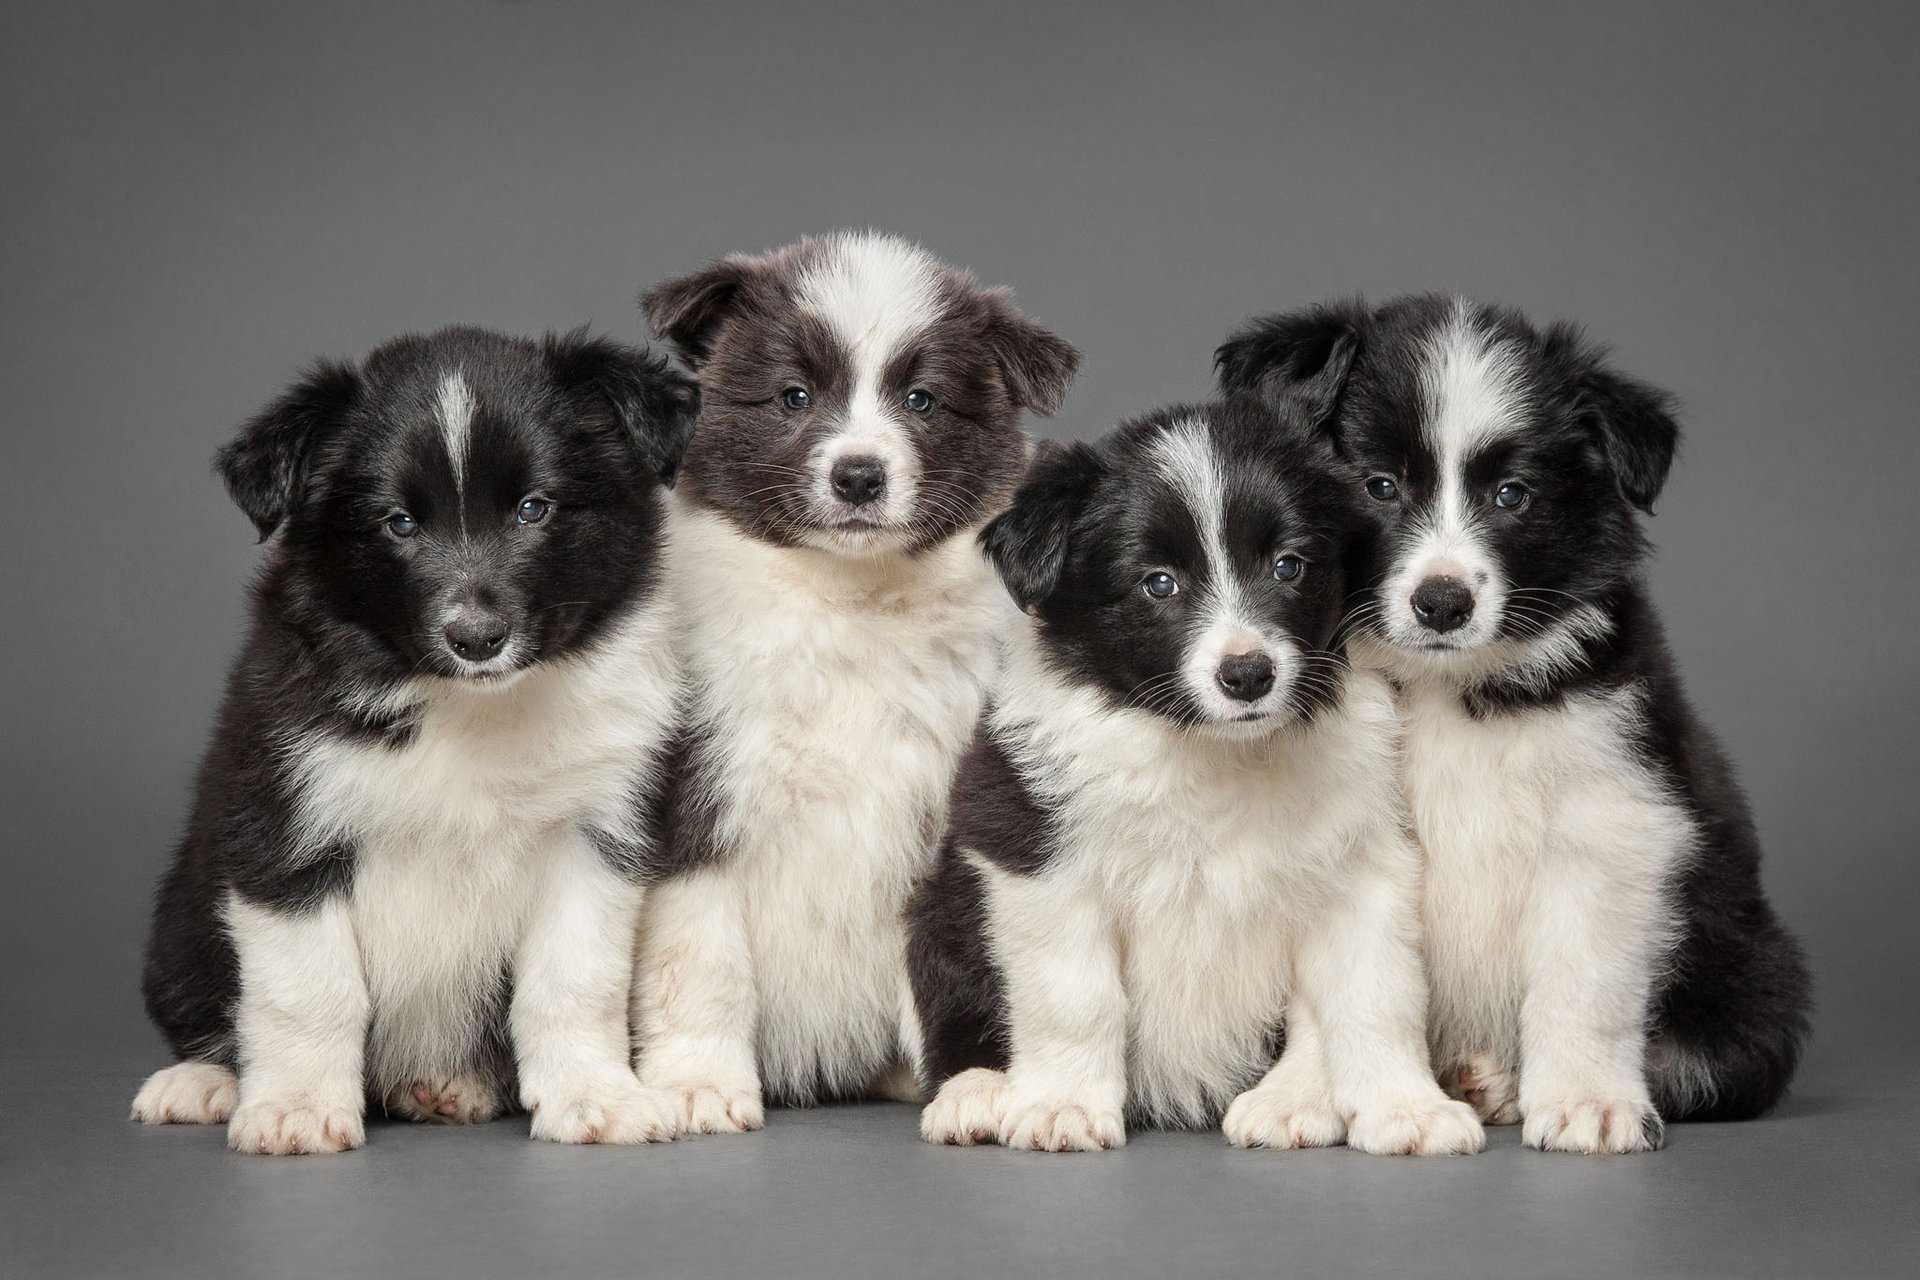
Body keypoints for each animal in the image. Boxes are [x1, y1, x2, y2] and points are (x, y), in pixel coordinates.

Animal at [137, 326, 706, 1159]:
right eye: (398, 522)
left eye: (534, 508)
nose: (476, 637)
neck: (468, 710)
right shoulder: (282, 824)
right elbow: (308, 988)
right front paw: (296, 1108)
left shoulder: (597, 829)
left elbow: (573, 980)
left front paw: (595, 1098)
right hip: (179, 925)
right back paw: (203, 1083)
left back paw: (449, 1085)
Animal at [633, 233, 1075, 1128]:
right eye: (794, 396)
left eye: (922, 400)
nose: (860, 477)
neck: (851, 602)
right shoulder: (696, 795)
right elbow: (700, 956)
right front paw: (698, 1081)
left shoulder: (957, 803)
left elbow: (962, 952)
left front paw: (979, 1081)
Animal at [910, 395, 1482, 1159]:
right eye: (1159, 582)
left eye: (1289, 566)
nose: (1248, 675)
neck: (1210, 752)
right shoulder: (1032, 853)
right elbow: (1075, 997)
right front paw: (1062, 1105)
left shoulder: (1364, 862)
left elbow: (1376, 995)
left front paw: (1406, 1109)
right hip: (938, 906)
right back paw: (976, 1093)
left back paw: (1291, 1101)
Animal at [1221, 297, 1804, 1151]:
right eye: (1379, 485)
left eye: (1512, 495)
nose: (1442, 603)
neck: (1441, 687)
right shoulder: (1331, 834)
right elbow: (1336, 984)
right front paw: (1299, 1093)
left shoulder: (1609, 822)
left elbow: (1581, 983)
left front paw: (1589, 1101)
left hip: (1752, 974)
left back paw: (1506, 1082)